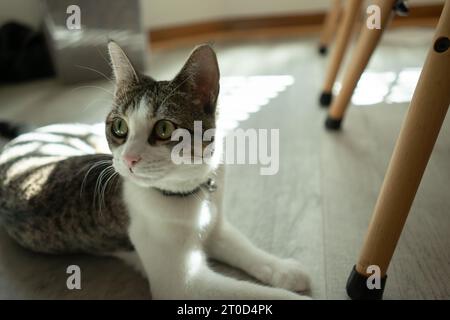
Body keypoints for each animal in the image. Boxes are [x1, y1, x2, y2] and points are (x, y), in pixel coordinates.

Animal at [0, 41, 310, 298]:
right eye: (119, 126)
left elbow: (245, 248)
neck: (188, 196)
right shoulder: (184, 284)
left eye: (164, 129)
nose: (128, 159)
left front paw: (284, 269)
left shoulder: (216, 226)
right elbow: (255, 293)